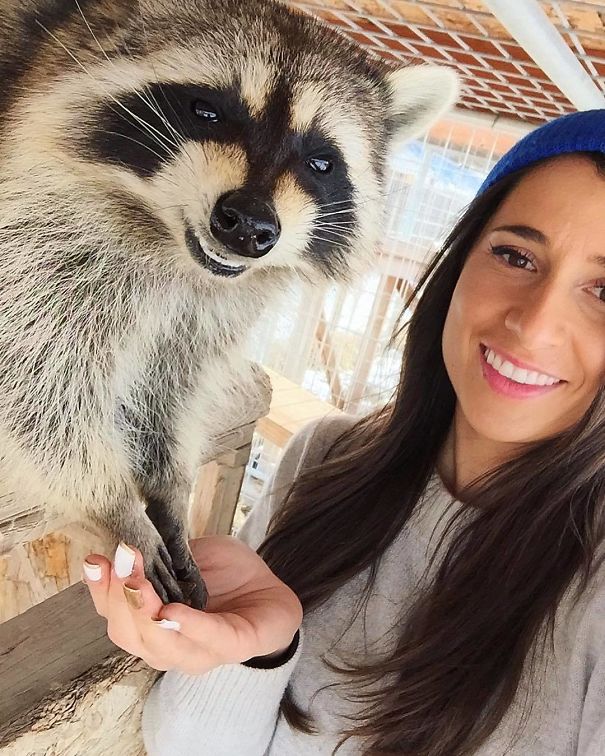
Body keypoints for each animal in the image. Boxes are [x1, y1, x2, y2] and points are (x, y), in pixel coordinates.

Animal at [0, 0, 458, 609]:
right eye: (207, 111)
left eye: (321, 162)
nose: (248, 227)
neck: (173, 246)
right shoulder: (42, 215)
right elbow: (34, 373)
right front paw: (112, 501)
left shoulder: (215, 304)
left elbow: (173, 378)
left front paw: (168, 481)